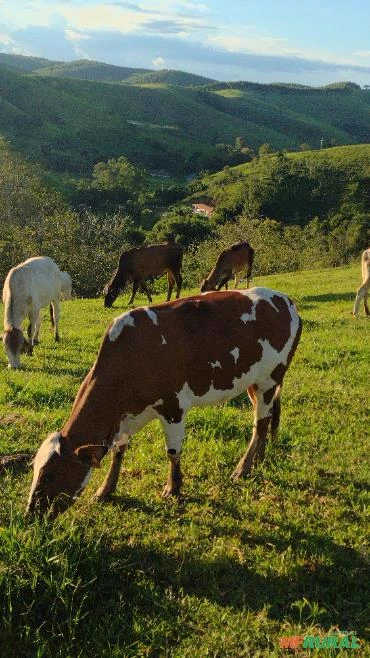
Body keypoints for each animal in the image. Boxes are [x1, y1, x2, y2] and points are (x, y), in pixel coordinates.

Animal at [27, 288, 302, 516]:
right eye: (34, 470)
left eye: (49, 475)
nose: (30, 513)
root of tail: (286, 300)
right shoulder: (126, 416)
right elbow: (118, 451)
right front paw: (105, 490)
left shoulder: (173, 407)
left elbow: (173, 452)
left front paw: (173, 488)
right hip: (254, 383)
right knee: (266, 419)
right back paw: (259, 459)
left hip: (269, 378)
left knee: (260, 422)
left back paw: (242, 469)